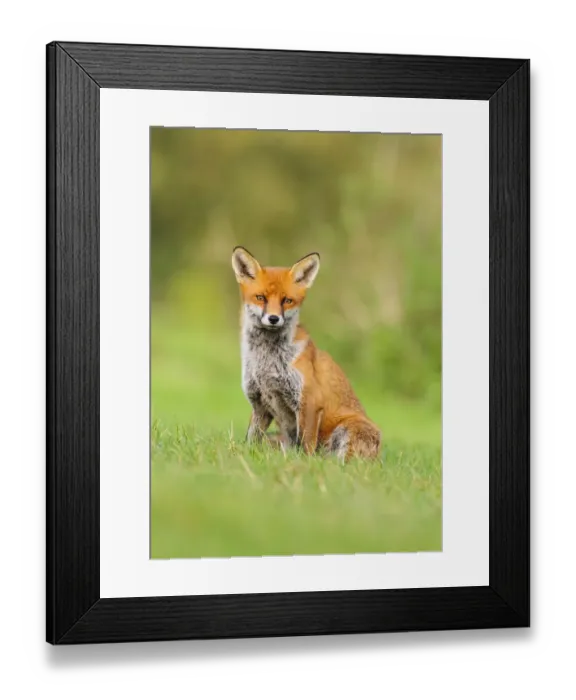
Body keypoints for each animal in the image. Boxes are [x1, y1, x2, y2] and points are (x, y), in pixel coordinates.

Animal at [231, 246, 381, 461]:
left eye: (287, 300)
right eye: (261, 298)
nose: (274, 319)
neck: (266, 361)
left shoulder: (309, 402)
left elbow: (306, 447)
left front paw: (305, 465)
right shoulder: (259, 404)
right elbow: (250, 440)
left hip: (347, 431)